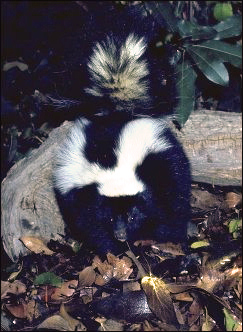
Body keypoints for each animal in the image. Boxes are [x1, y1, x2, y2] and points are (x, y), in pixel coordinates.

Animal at [53, 30, 192, 254]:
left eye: (132, 217)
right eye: (110, 218)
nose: (121, 235)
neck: (116, 168)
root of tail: (118, 112)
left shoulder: (155, 171)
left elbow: (166, 207)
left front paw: (168, 237)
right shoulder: (83, 193)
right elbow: (90, 223)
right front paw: (111, 248)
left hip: (168, 159)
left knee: (179, 191)